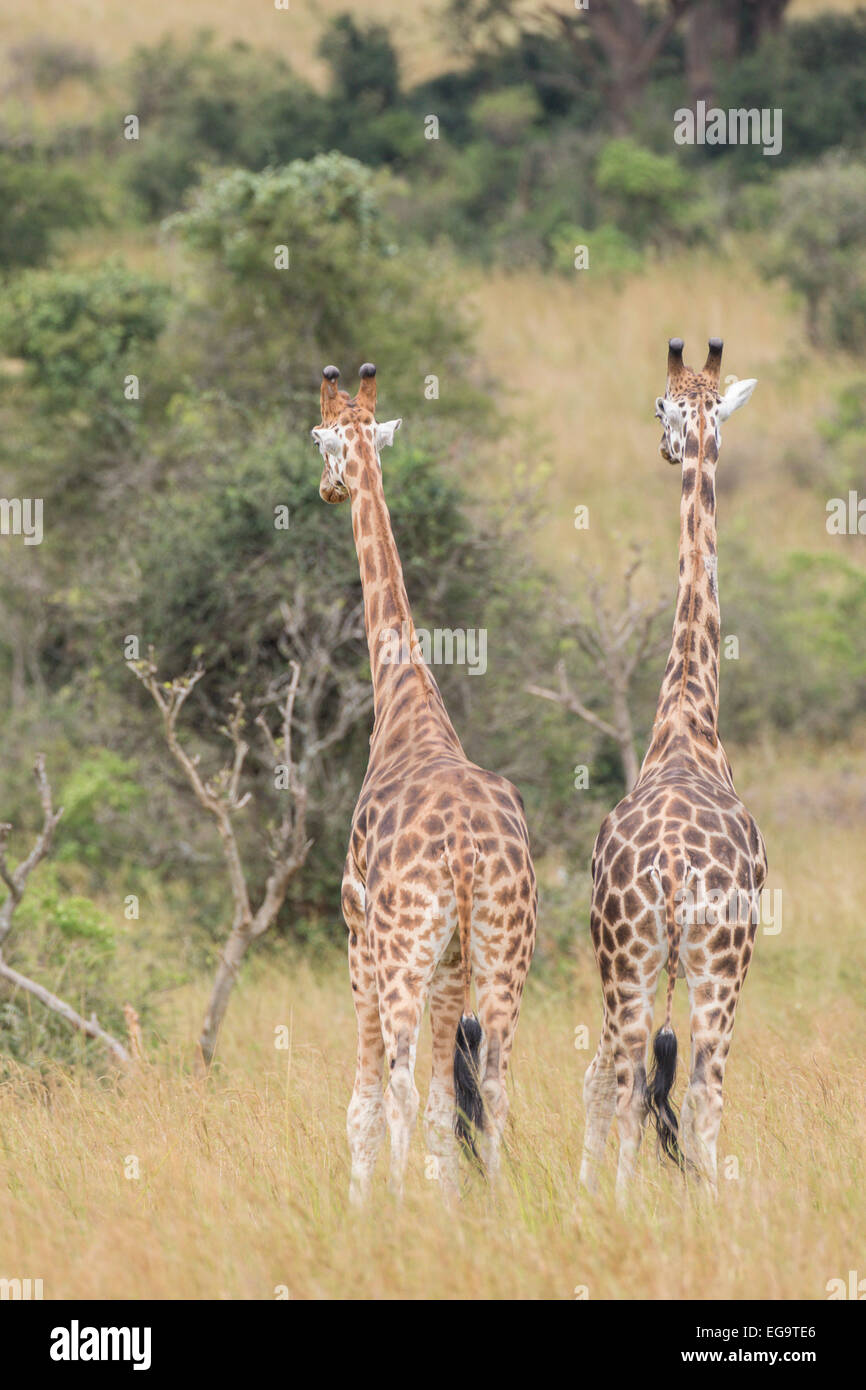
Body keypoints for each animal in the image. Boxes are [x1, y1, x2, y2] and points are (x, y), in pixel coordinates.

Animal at [312, 364, 536, 1200]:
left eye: (319, 438)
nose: (327, 489)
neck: (404, 702)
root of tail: (468, 850)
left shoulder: (358, 932)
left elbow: (367, 1100)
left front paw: (368, 1206)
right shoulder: (451, 961)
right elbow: (448, 1102)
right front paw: (443, 1204)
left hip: (407, 946)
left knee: (404, 1082)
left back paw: (399, 1205)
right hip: (503, 945)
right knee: (495, 1079)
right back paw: (497, 1202)